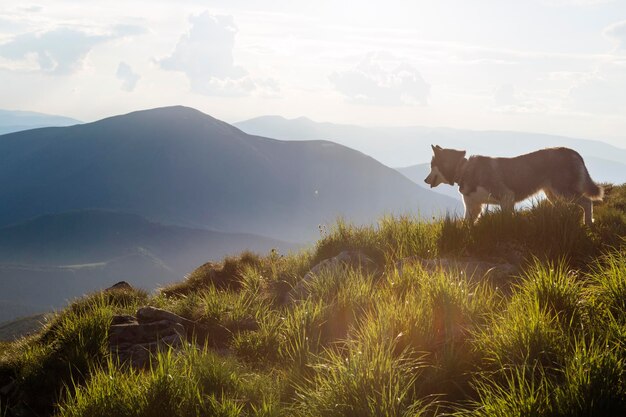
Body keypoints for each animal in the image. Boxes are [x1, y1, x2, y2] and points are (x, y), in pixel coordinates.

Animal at [422, 145, 604, 224]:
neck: (464, 169)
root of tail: (572, 151)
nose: (424, 180)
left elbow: (507, 219)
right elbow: (467, 224)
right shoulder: (473, 207)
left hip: (563, 191)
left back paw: (588, 223)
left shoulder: (506, 197)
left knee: (587, 202)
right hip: (553, 194)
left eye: (431, 166)